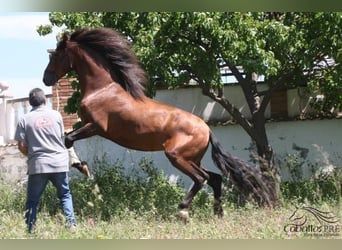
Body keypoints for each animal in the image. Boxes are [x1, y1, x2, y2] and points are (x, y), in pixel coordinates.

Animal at [42, 27, 272, 223]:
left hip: (177, 156)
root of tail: (207, 128)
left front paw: (82, 167)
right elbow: (67, 137)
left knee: (202, 178)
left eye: (56, 55)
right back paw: (218, 213)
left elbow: (68, 138)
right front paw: (81, 166)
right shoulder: (88, 125)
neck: (102, 89)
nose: (46, 79)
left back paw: (183, 210)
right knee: (215, 178)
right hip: (193, 158)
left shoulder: (95, 127)